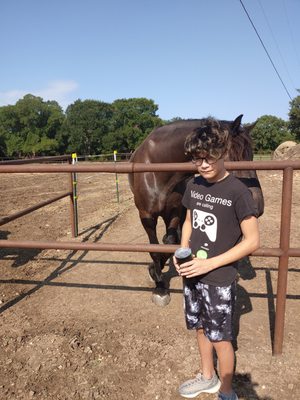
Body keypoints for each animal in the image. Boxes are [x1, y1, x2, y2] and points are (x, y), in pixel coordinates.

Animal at [127, 114, 264, 304]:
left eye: (251, 156)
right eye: (233, 156)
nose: (257, 206)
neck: (157, 168)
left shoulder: (174, 211)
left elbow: (170, 242)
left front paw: (154, 270)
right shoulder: (147, 217)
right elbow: (155, 250)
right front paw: (159, 286)